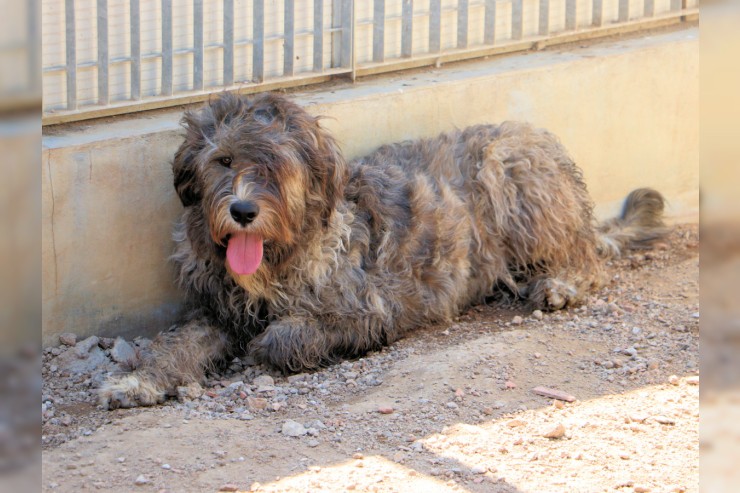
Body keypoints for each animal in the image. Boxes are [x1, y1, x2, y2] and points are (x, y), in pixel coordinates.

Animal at [97, 92, 664, 408]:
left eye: (276, 165)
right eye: (223, 160)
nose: (241, 211)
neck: (288, 254)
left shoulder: (370, 309)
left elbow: (286, 334)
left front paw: (266, 344)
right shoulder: (216, 309)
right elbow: (178, 344)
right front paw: (138, 381)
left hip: (511, 173)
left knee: (588, 260)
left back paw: (562, 282)